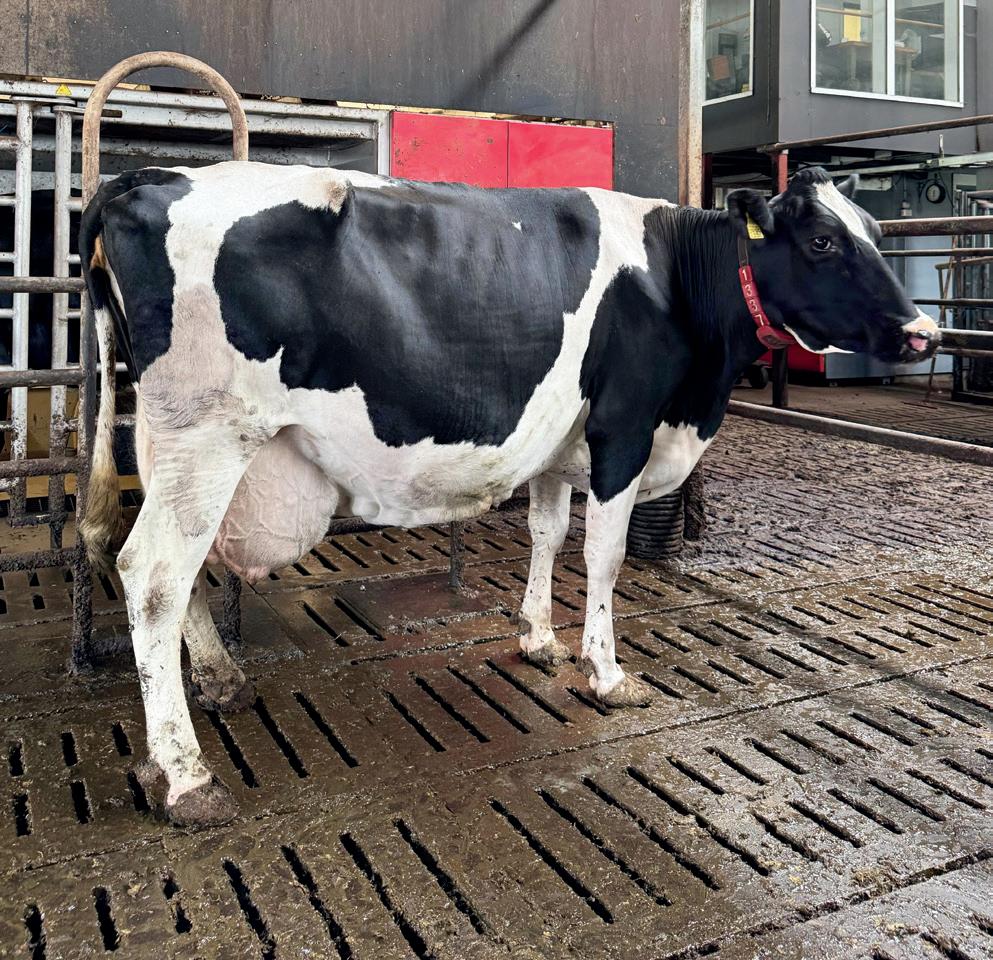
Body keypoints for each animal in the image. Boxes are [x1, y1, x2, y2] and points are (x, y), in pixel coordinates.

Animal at [79, 162, 939, 827]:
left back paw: (221, 680)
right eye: (822, 241)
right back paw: (185, 778)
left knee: (175, 570)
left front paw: (536, 638)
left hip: (173, 445)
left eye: (874, 230)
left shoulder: (562, 445)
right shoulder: (624, 428)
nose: (923, 332)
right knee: (153, 575)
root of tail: (147, 177)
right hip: (208, 435)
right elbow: (603, 554)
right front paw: (605, 672)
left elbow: (547, 533)